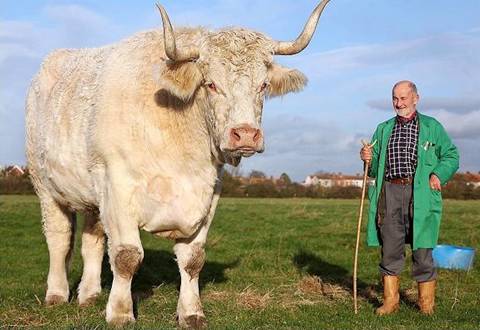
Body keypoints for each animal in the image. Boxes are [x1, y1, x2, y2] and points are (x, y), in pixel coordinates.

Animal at [25, 0, 330, 328]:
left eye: (262, 85)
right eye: (211, 84)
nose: (246, 134)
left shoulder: (208, 195)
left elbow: (193, 260)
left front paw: (191, 312)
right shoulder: (117, 187)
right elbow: (126, 256)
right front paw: (120, 313)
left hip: (93, 195)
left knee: (91, 239)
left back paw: (90, 294)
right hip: (46, 186)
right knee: (59, 239)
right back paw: (57, 294)